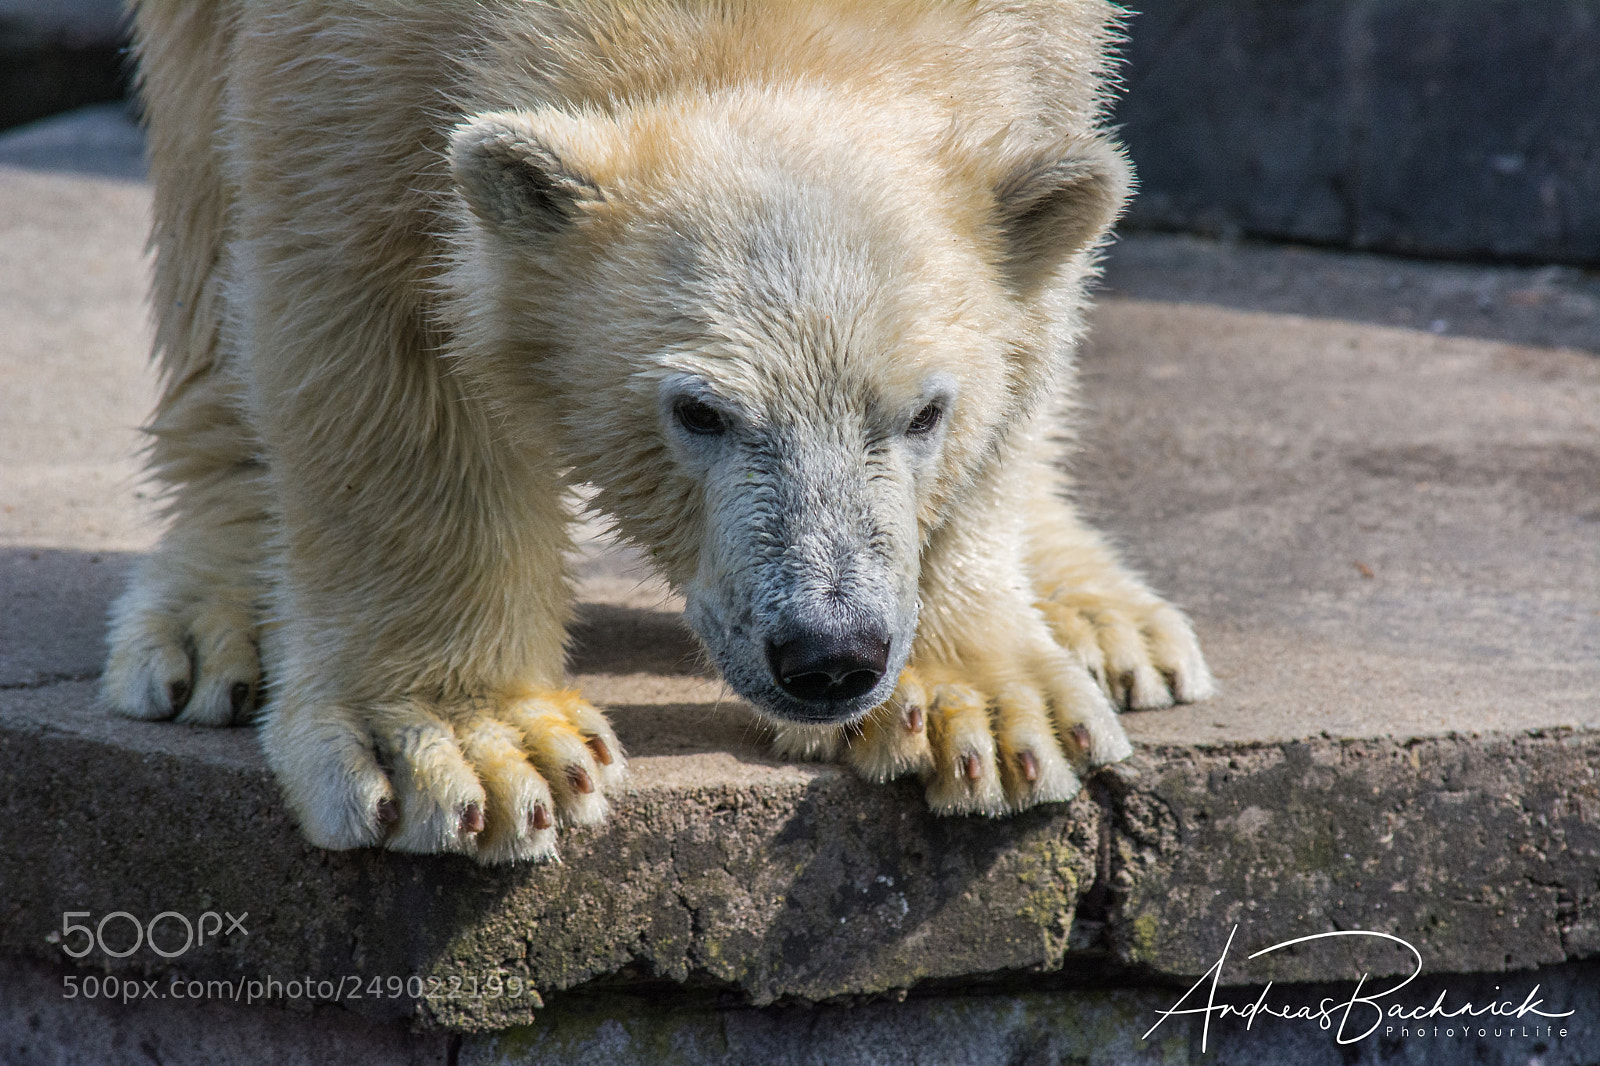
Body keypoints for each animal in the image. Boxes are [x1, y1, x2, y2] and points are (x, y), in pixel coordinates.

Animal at [105, 0, 1213, 864]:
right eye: (700, 412)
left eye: (925, 412)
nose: (830, 653)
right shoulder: (346, 59)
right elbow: (372, 309)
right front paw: (467, 748)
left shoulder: (1045, 45)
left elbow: (1037, 306)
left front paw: (975, 709)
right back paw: (221, 614)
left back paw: (1107, 620)